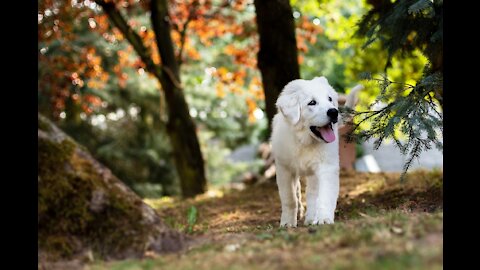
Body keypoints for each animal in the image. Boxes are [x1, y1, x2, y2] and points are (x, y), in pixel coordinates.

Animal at [272, 77, 362, 227]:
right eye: (312, 102)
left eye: (330, 99)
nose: (334, 112)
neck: (304, 141)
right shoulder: (284, 169)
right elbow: (289, 198)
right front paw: (287, 222)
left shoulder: (327, 167)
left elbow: (324, 195)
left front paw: (324, 219)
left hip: (314, 173)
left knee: (312, 194)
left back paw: (311, 218)